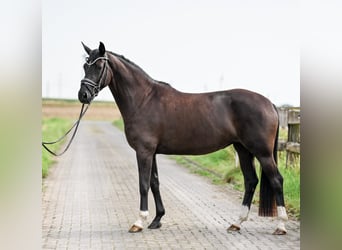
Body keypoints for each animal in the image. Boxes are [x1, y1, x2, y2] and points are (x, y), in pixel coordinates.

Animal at [78, 42, 288, 235]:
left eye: (99, 66)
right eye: (85, 66)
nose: (83, 95)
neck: (143, 99)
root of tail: (269, 103)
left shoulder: (144, 151)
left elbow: (143, 184)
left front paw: (139, 222)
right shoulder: (152, 152)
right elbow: (154, 183)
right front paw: (157, 220)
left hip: (262, 152)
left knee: (276, 180)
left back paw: (281, 226)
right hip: (243, 149)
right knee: (251, 181)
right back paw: (236, 223)